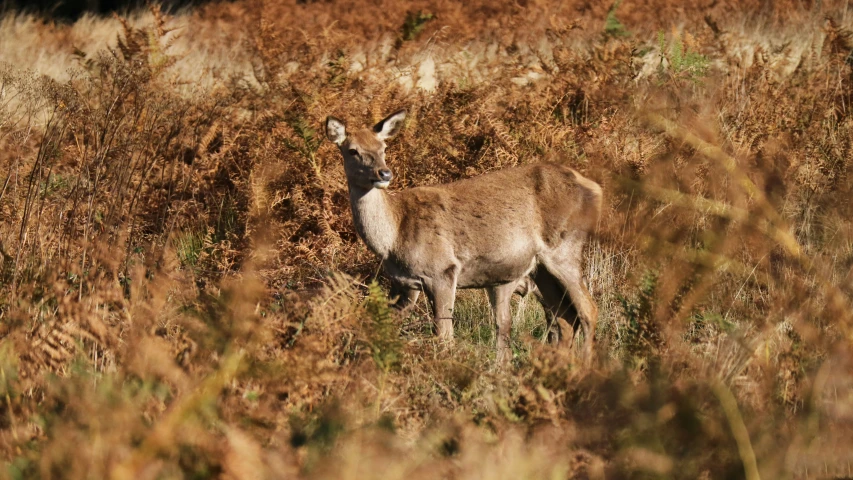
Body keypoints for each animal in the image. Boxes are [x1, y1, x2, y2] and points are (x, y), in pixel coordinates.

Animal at [322, 109, 604, 364]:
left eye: (383, 147)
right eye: (352, 150)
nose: (384, 173)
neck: (393, 238)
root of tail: (595, 188)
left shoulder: (443, 270)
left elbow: (444, 335)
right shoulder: (404, 284)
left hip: (564, 248)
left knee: (588, 310)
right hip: (541, 267)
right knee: (564, 316)